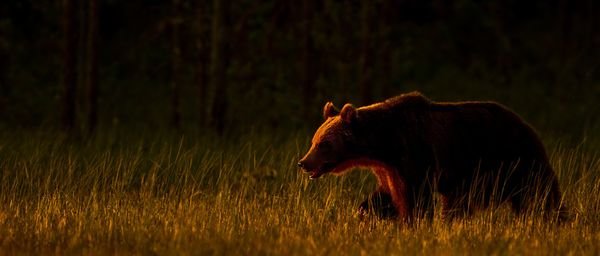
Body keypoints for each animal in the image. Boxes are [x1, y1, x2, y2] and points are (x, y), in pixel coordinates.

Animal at [300, 92, 568, 222]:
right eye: (313, 141)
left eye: (324, 144)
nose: (304, 163)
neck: (384, 144)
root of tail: (527, 125)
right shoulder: (387, 169)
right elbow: (385, 195)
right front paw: (366, 212)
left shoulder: (415, 153)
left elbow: (415, 198)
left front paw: (413, 222)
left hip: (513, 160)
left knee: (540, 194)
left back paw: (555, 219)